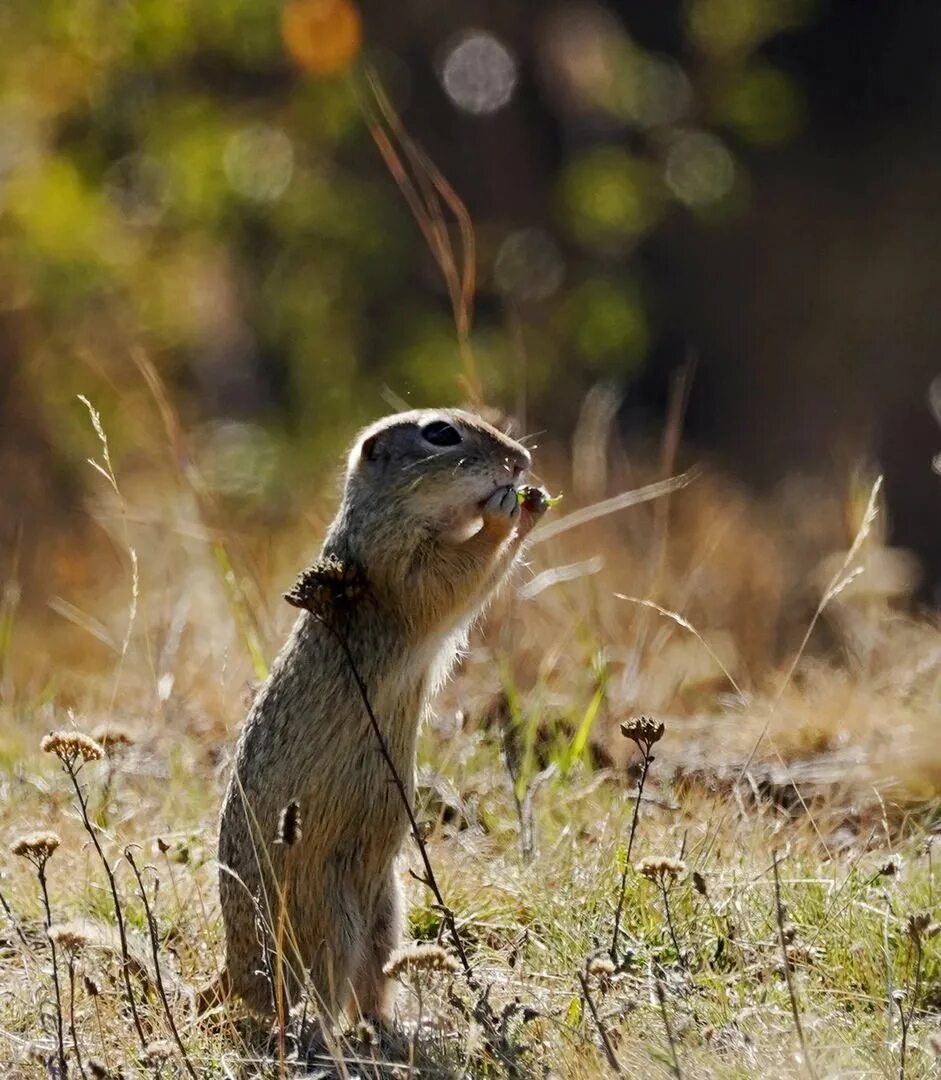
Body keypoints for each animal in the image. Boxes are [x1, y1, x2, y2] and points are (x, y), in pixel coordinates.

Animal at [216, 406, 548, 1019]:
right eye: (440, 433)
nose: (521, 460)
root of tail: (231, 973)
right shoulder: (404, 568)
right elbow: (456, 578)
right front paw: (504, 512)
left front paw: (534, 501)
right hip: (328, 921)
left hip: (386, 912)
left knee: (370, 982)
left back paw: (387, 1025)